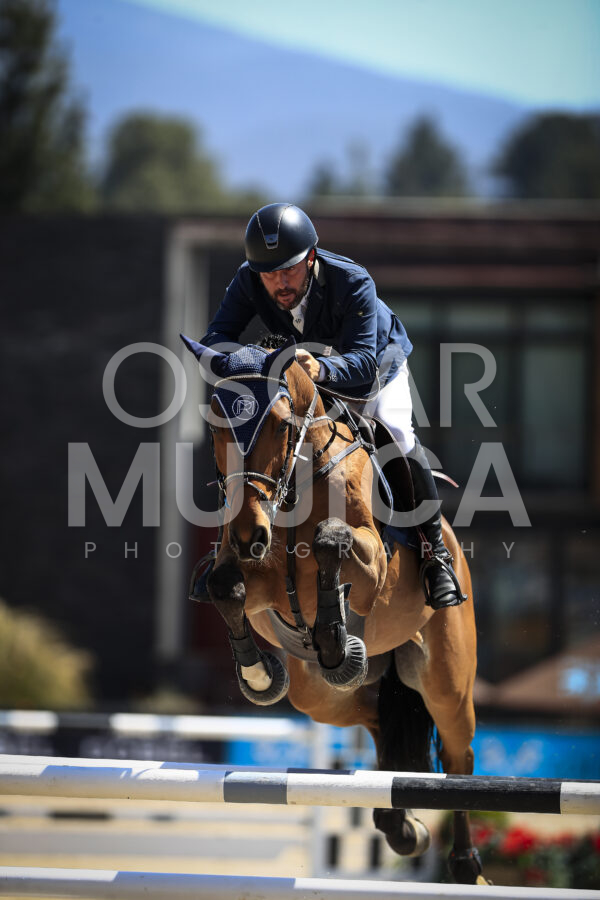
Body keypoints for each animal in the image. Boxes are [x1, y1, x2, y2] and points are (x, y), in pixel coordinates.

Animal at [182, 334, 485, 885]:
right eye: (215, 425)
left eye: (282, 424)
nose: (248, 534)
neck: (294, 488)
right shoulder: (254, 578)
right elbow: (223, 585)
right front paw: (259, 674)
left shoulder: (373, 569)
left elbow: (331, 540)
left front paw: (330, 632)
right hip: (319, 698)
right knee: (377, 717)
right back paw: (400, 824)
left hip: (446, 680)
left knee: (458, 755)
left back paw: (464, 864)